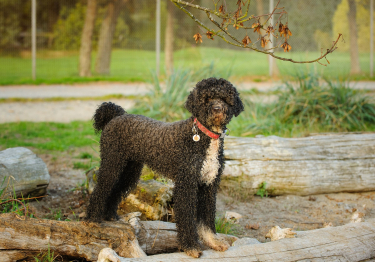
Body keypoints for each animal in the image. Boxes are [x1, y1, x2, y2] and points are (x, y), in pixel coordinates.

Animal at [86, 78, 244, 258]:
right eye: (206, 99)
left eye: (225, 98)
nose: (217, 108)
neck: (203, 137)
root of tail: (116, 116)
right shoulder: (186, 183)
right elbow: (187, 217)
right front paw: (190, 246)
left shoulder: (209, 185)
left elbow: (207, 219)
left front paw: (213, 241)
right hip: (112, 163)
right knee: (101, 190)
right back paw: (92, 219)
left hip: (129, 170)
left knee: (115, 190)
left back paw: (110, 215)